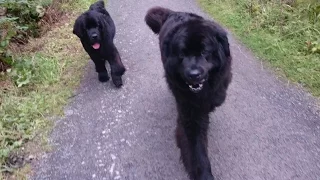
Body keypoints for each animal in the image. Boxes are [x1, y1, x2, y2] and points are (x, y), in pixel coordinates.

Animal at [146, 6, 232, 179]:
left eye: (204, 52)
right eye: (182, 54)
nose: (193, 74)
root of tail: (172, 13)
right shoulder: (191, 114)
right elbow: (197, 150)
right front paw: (204, 174)